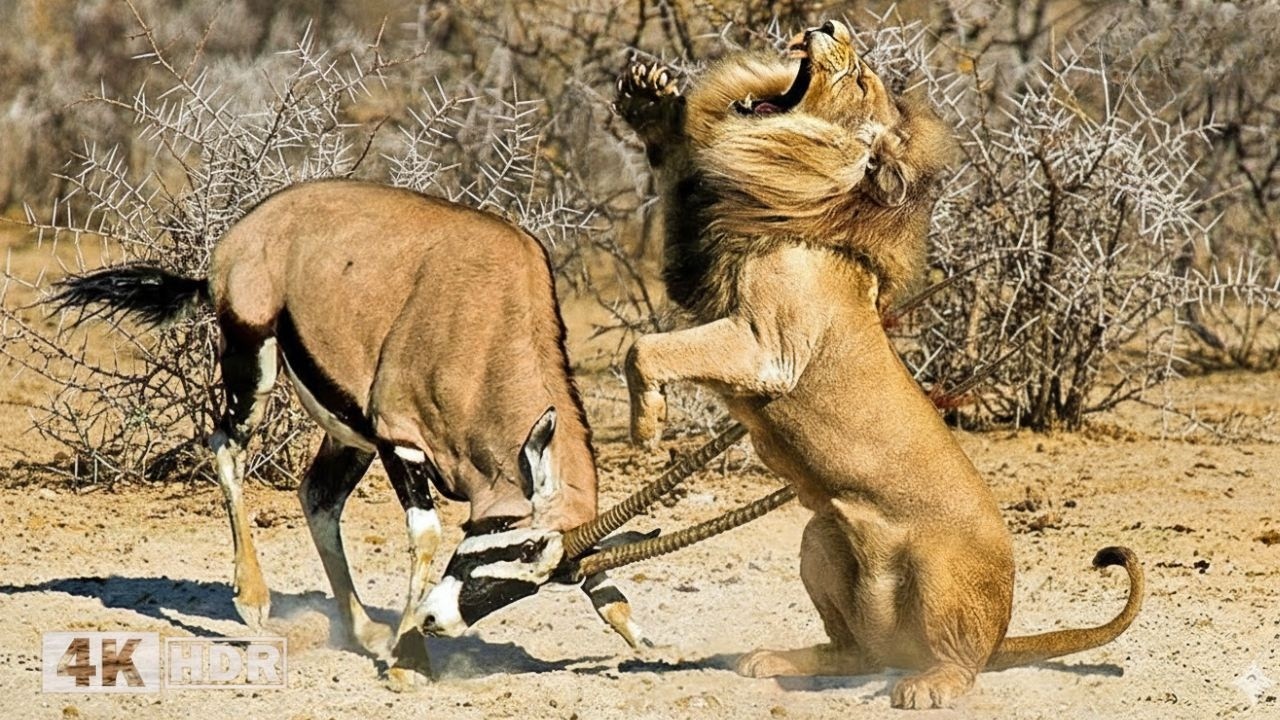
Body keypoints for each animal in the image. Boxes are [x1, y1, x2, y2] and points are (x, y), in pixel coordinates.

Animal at [615, 20, 1143, 710]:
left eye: (861, 79)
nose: (829, 25)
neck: (800, 178)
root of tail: (1000, 634)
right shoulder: (703, 265)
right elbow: (676, 182)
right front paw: (648, 102)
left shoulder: (766, 347)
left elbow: (645, 348)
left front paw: (647, 424)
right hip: (820, 536)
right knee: (856, 651)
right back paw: (777, 659)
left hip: (936, 569)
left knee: (960, 663)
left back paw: (928, 686)